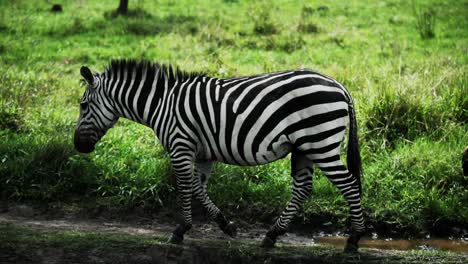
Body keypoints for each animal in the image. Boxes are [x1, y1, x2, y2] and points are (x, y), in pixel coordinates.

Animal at [74, 59, 366, 252]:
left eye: (83, 105)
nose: (78, 146)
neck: (162, 104)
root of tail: (339, 85)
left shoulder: (181, 146)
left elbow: (184, 187)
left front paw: (180, 230)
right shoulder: (204, 154)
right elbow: (198, 188)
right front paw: (226, 225)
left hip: (320, 143)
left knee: (350, 185)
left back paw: (353, 240)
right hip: (304, 148)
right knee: (303, 189)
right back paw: (272, 235)